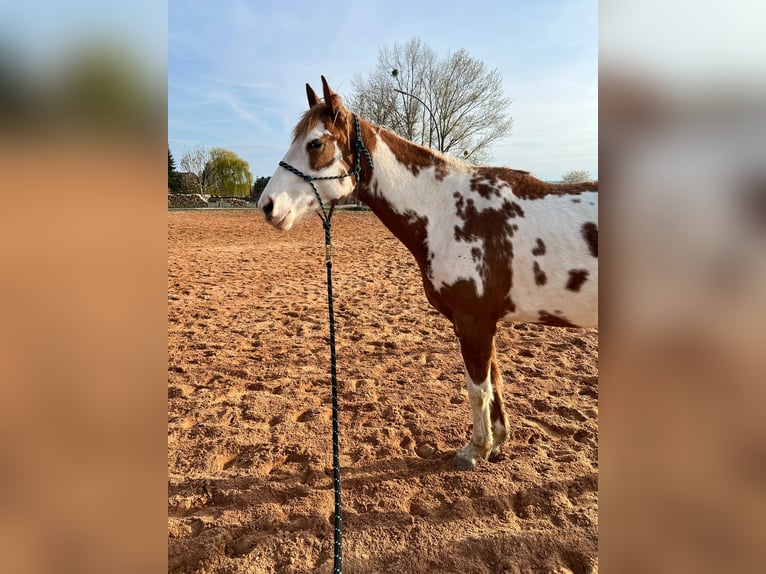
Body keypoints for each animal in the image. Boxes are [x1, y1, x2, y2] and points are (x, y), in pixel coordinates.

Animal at [258, 76, 597, 470]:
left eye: (314, 142)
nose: (267, 205)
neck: (448, 210)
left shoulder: (474, 322)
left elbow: (478, 388)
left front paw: (475, 450)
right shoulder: (484, 323)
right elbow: (495, 382)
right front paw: (496, 443)